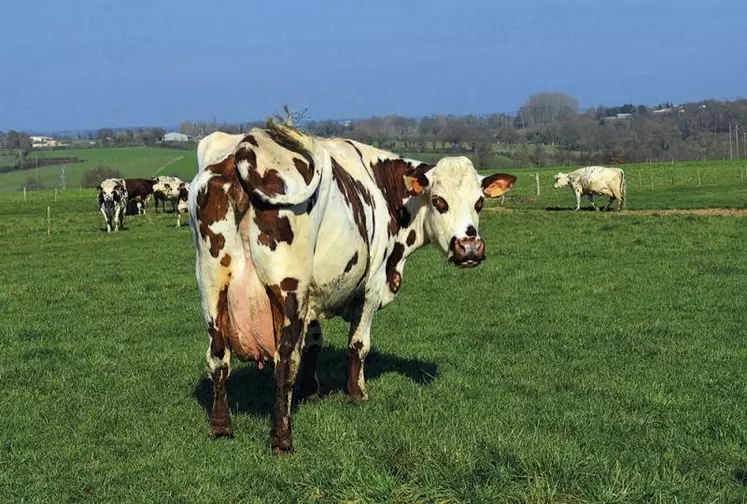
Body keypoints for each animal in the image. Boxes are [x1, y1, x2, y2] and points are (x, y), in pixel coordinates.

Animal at [188, 123, 516, 452]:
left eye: (479, 203)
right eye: (439, 201)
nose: (470, 247)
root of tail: (246, 147)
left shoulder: (314, 296)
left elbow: (314, 342)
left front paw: (311, 391)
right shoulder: (371, 287)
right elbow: (358, 345)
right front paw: (356, 394)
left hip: (211, 285)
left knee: (218, 357)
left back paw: (221, 427)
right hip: (288, 289)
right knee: (285, 361)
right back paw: (282, 439)